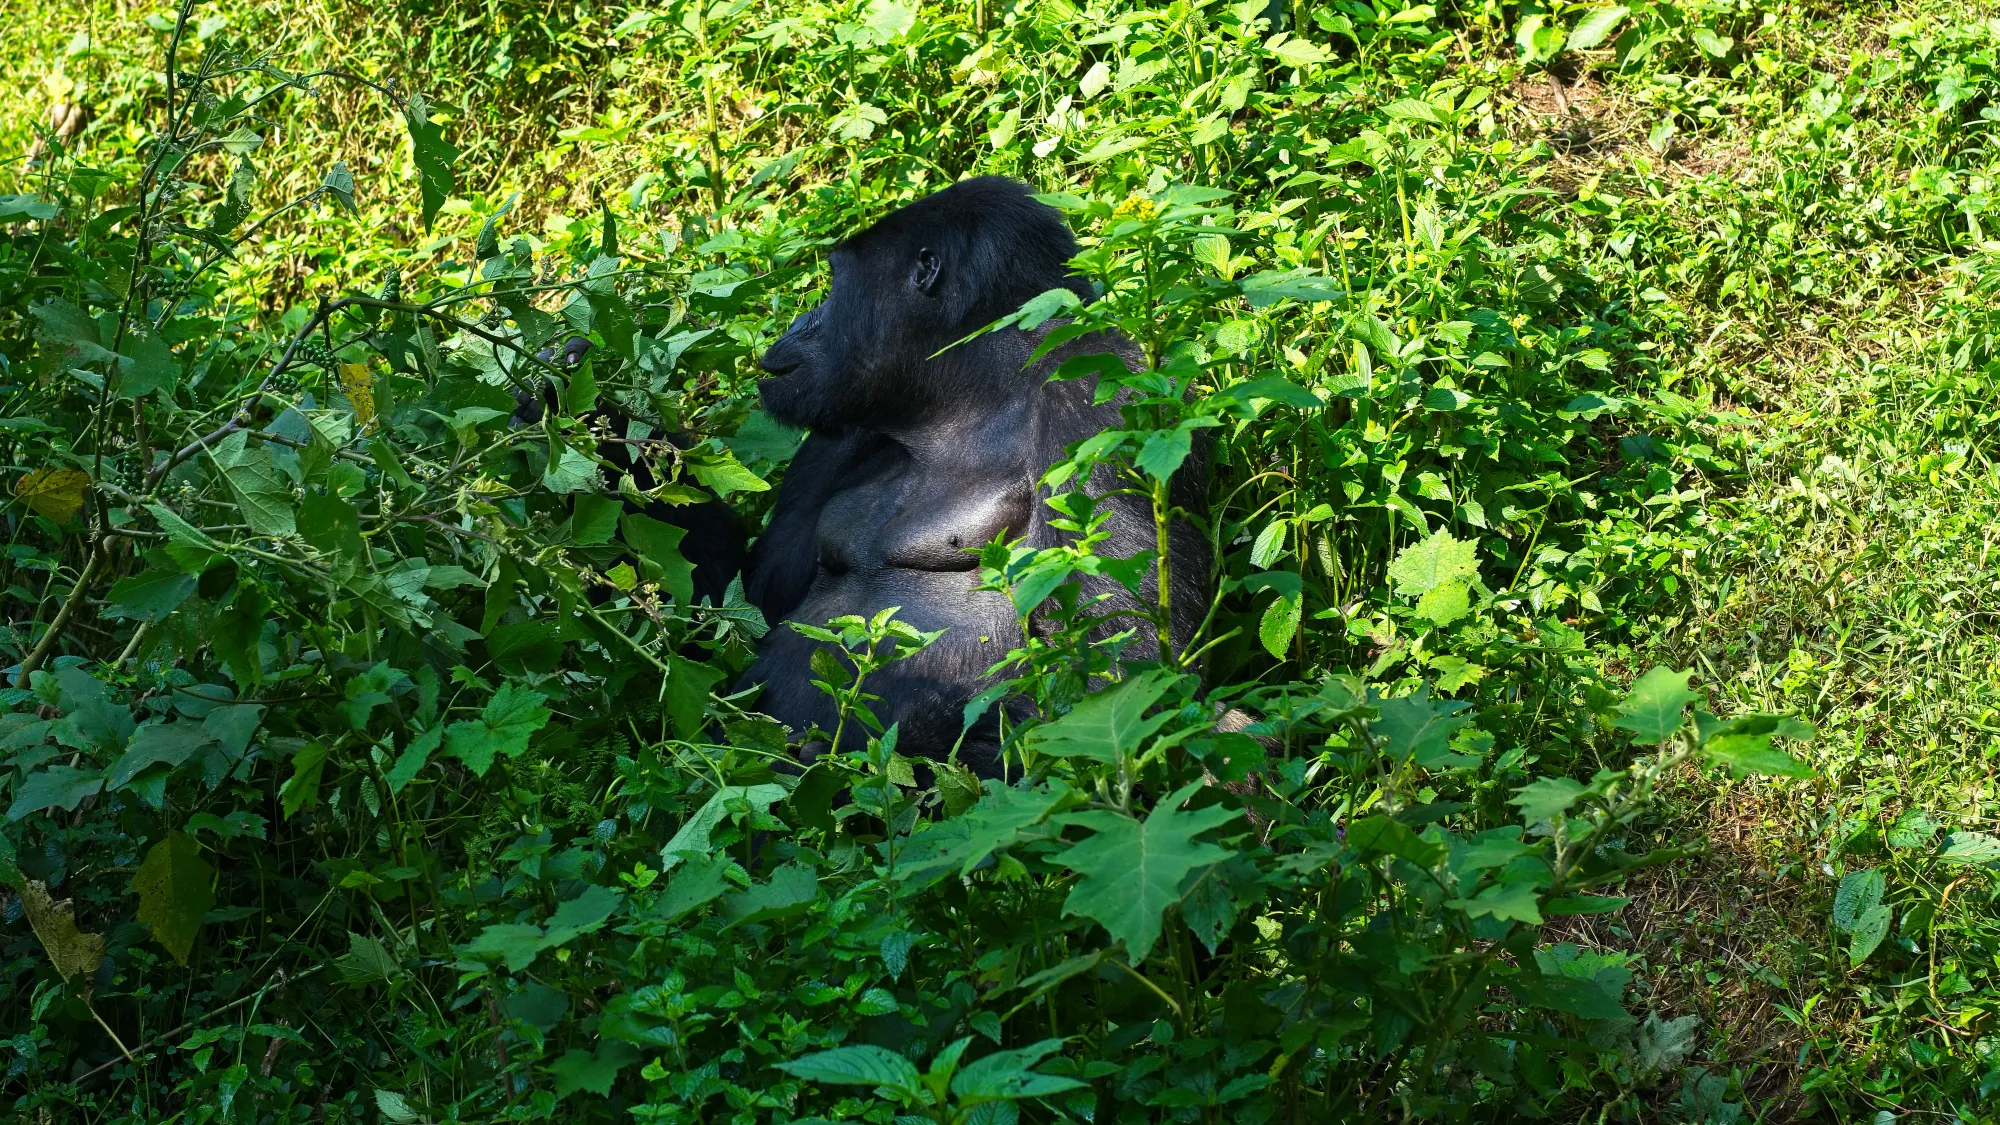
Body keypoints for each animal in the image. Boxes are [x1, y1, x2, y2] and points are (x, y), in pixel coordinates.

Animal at [736, 177, 1200, 768]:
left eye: (836, 283)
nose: (798, 323)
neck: (968, 391)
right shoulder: (834, 432)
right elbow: (752, 599)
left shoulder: (1106, 396)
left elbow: (1122, 657)